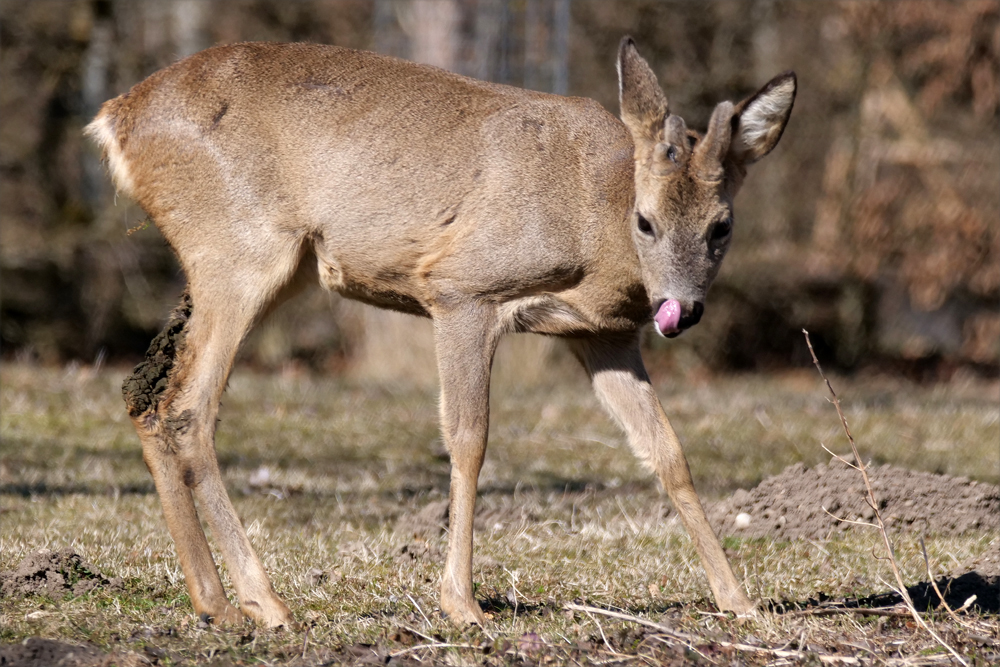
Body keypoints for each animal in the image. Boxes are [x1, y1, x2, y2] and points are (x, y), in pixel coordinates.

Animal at [88, 36, 796, 628]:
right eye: (645, 221)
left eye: (722, 226)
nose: (682, 309)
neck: (594, 218)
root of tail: (115, 117)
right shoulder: (461, 289)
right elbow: (467, 439)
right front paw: (460, 603)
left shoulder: (605, 337)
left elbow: (667, 452)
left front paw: (738, 600)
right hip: (240, 248)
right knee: (187, 405)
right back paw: (265, 602)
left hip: (253, 264)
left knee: (144, 394)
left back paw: (215, 602)